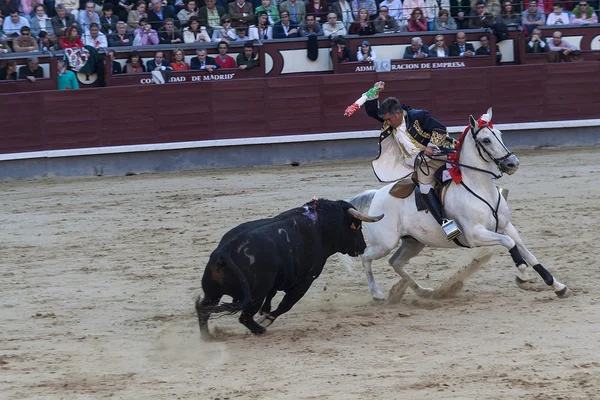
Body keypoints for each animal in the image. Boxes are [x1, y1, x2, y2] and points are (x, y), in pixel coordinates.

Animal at [197, 198, 384, 340]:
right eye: (357, 226)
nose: (362, 246)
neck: (321, 226)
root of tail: (225, 250)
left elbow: (272, 297)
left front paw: (264, 313)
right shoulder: (305, 281)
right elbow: (286, 304)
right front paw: (266, 319)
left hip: (213, 293)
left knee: (203, 309)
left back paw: (208, 336)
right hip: (255, 295)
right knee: (244, 317)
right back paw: (260, 329)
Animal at [346, 108, 572, 300]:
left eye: (500, 134)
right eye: (486, 139)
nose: (512, 164)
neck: (479, 187)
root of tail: (376, 195)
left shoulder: (507, 226)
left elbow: (528, 252)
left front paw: (557, 286)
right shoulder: (475, 234)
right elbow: (510, 244)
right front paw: (523, 276)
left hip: (413, 242)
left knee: (396, 262)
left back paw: (423, 291)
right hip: (384, 242)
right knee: (366, 258)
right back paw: (377, 294)